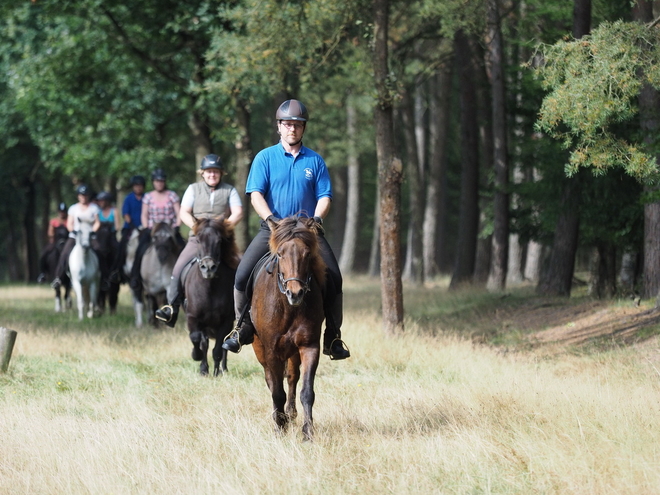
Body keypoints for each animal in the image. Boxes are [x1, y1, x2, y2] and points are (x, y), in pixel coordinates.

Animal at [183, 216, 240, 376]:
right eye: (197, 240)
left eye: (219, 241)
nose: (208, 268)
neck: (209, 289)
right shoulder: (193, 318)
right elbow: (197, 339)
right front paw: (199, 361)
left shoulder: (226, 321)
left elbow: (218, 349)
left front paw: (216, 372)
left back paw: (223, 369)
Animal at [250, 217, 328, 442]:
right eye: (280, 254)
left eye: (307, 253)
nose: (296, 293)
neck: (288, 308)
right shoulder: (271, 350)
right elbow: (277, 391)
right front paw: (279, 426)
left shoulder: (309, 346)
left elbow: (307, 391)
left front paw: (308, 432)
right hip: (260, 349)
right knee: (271, 380)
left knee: (292, 377)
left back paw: (291, 414)